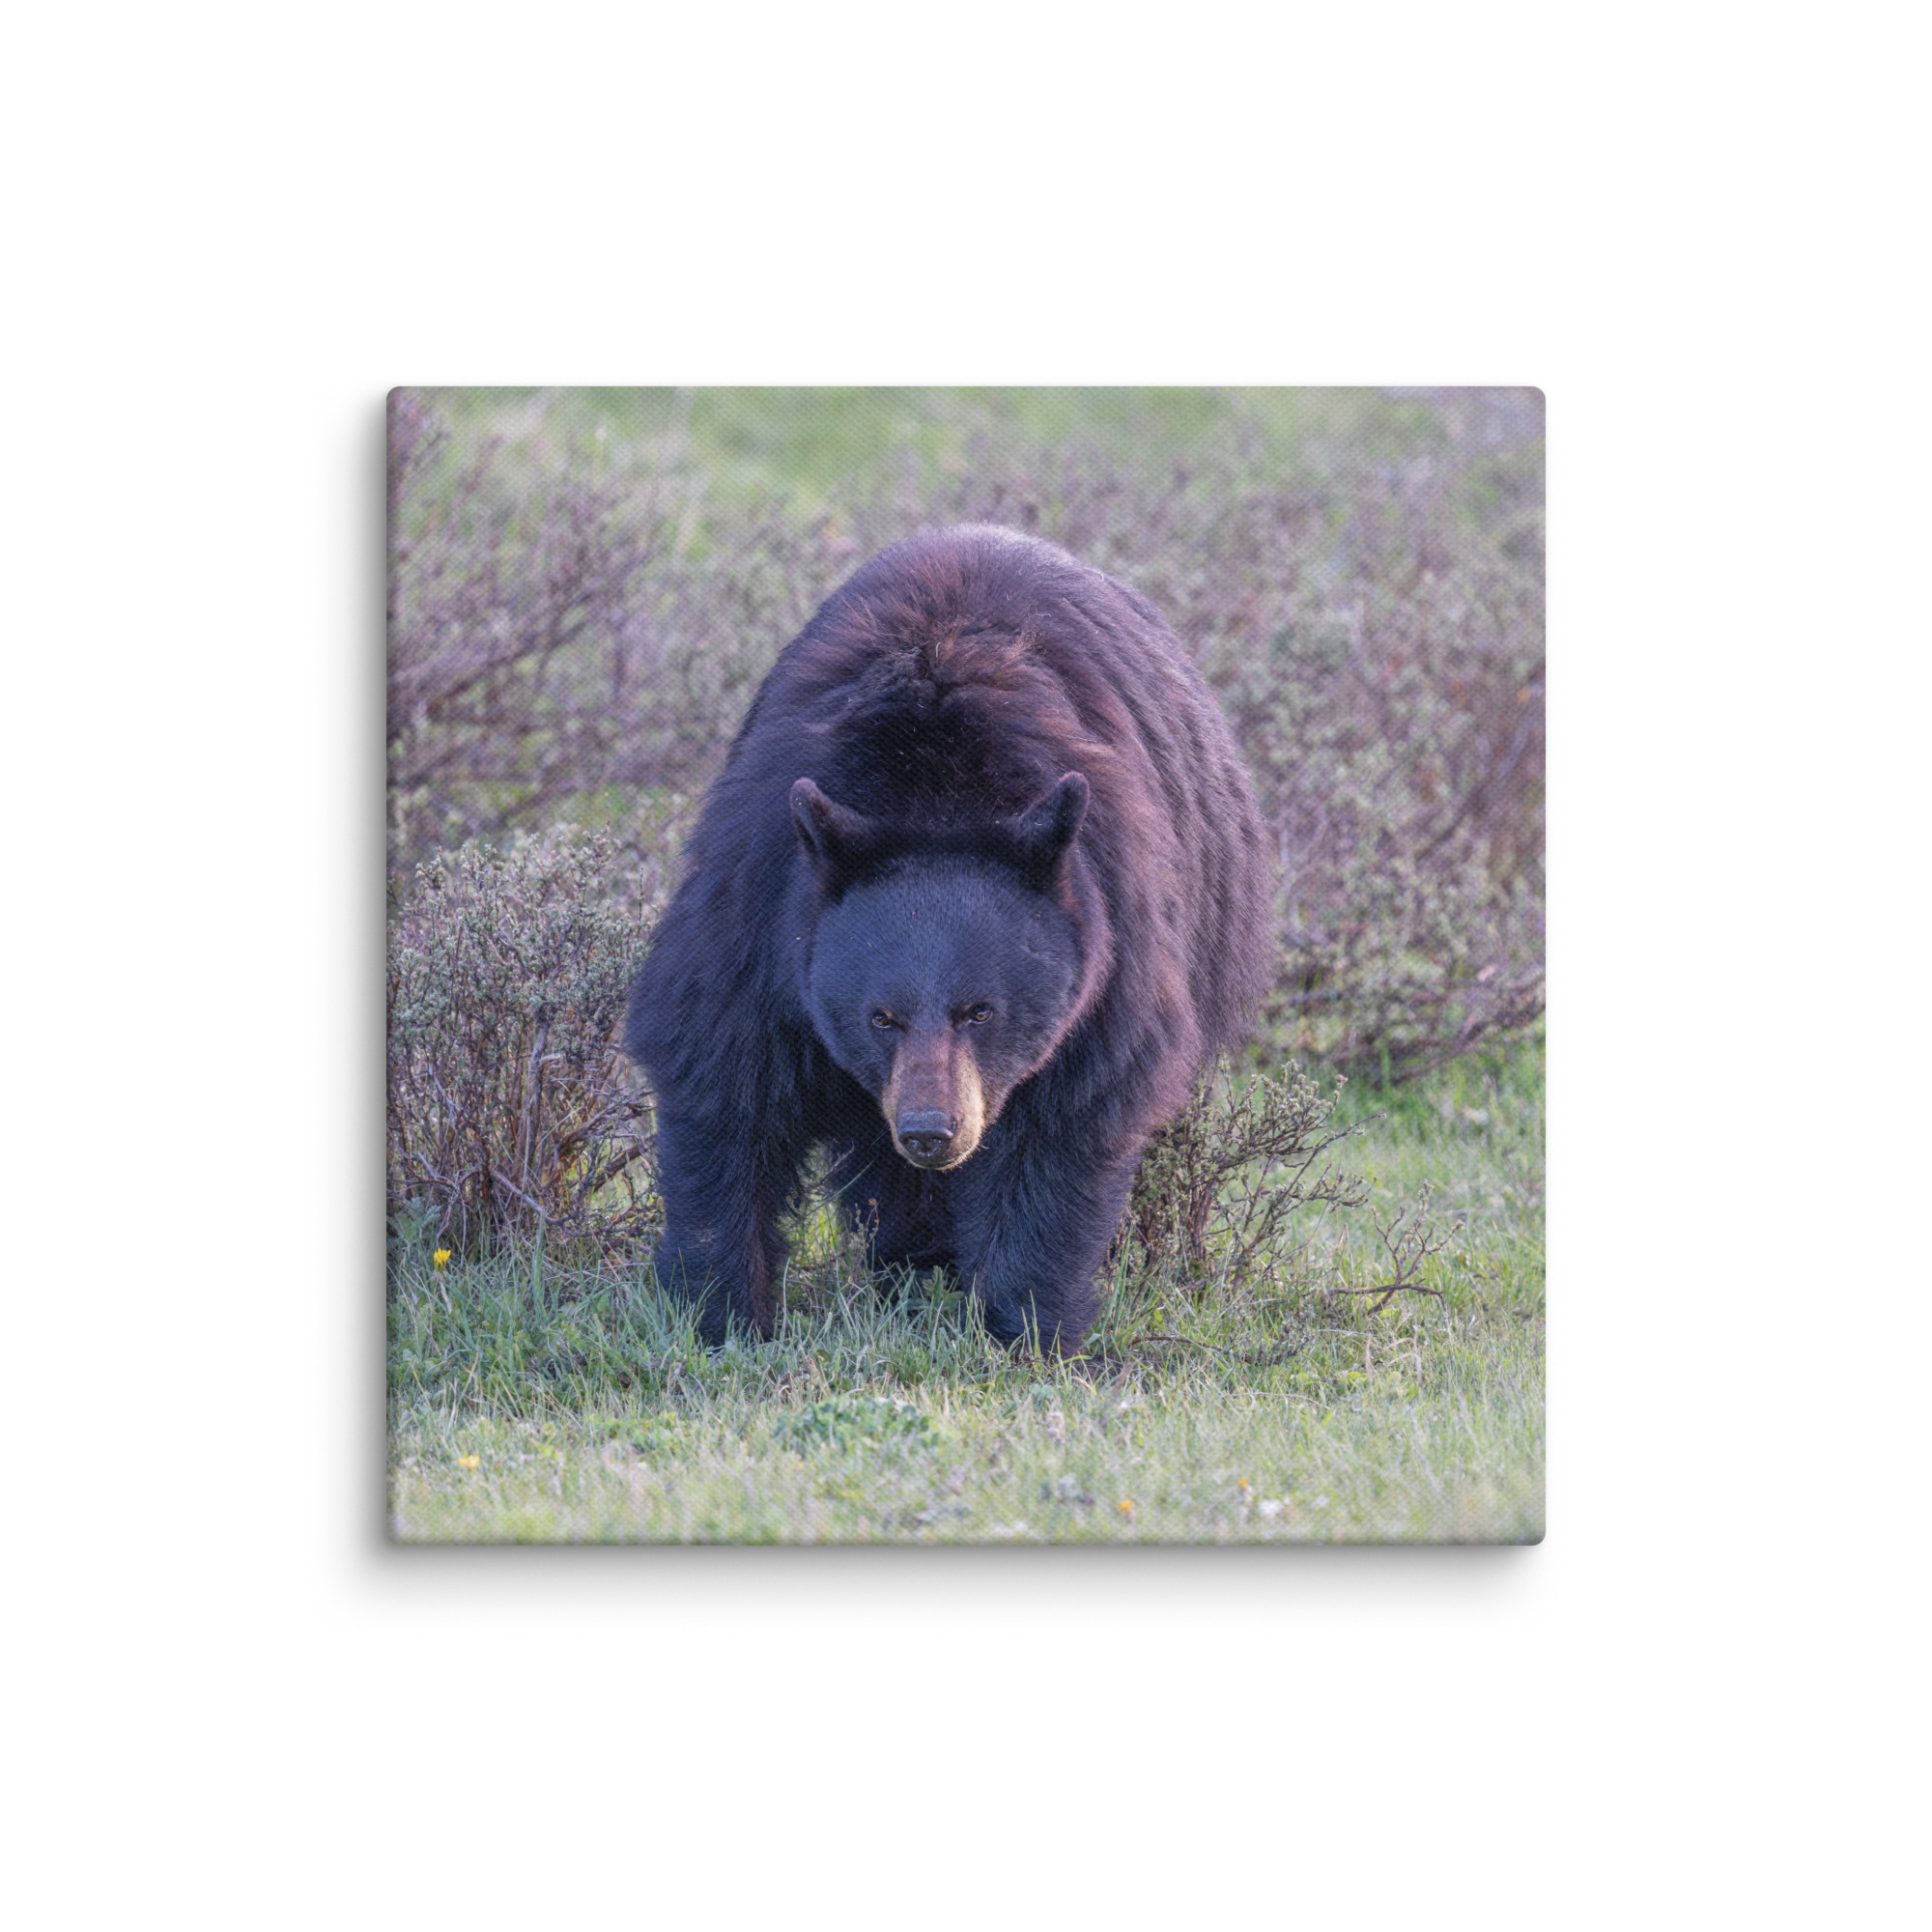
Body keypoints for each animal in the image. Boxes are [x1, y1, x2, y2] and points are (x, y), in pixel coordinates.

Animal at [624, 524, 1272, 1351]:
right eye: (881, 1016)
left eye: (980, 1011)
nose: (933, 1132)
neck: (933, 792)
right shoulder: (761, 907)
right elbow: (723, 1081)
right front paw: (721, 1312)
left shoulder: (1110, 937)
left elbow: (1064, 1122)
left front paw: (1026, 1325)